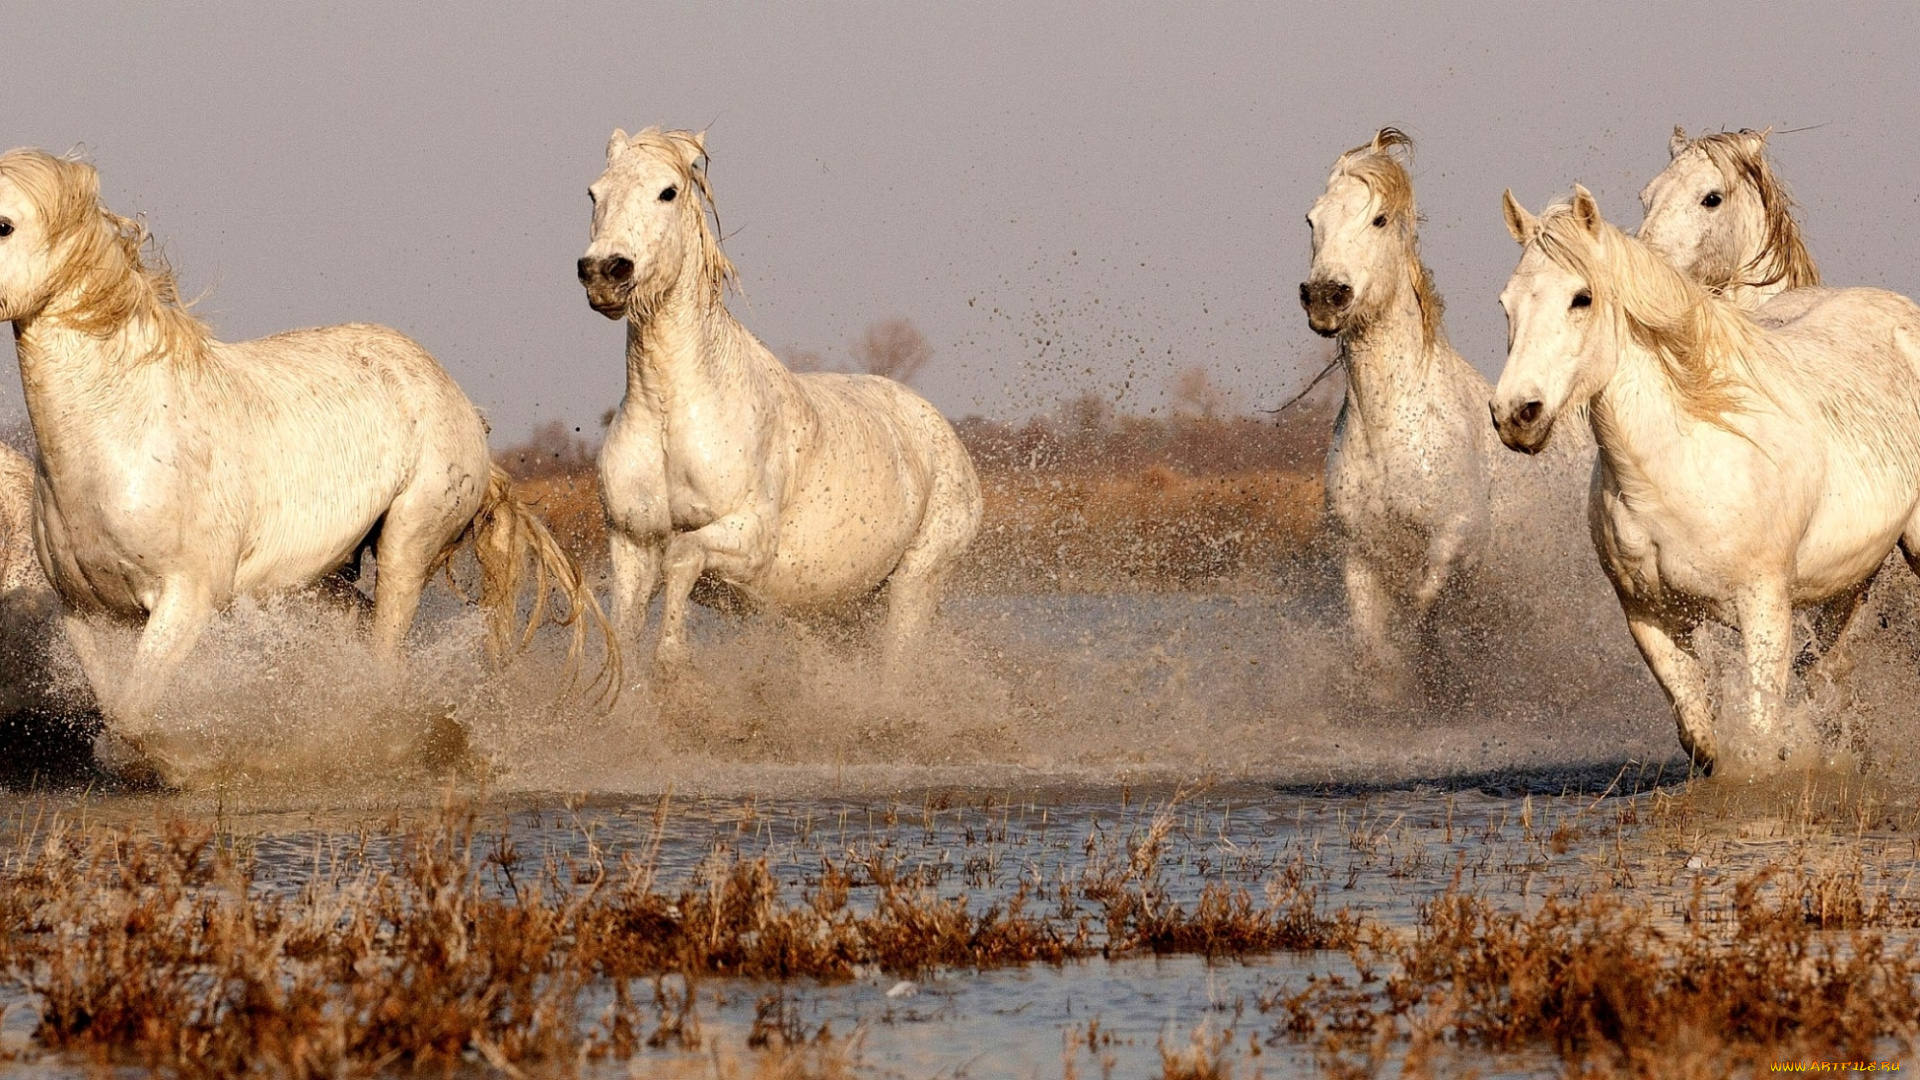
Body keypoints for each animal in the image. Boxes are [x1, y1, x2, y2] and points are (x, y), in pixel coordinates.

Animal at [0, 148, 610, 772]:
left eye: (4, 226)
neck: (120, 439)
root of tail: (459, 399)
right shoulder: (86, 613)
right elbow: (116, 715)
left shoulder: (185, 599)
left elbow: (133, 717)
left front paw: (186, 764)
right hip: (327, 573)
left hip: (408, 543)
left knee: (384, 659)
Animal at [576, 127, 983, 672]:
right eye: (594, 193)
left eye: (668, 192)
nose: (605, 271)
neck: (672, 411)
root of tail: (942, 432)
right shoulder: (632, 545)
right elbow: (624, 628)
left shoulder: (750, 538)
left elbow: (683, 555)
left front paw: (674, 661)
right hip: (845, 611)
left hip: (915, 584)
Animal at [1297, 127, 1489, 699]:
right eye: (1312, 219)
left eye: (1379, 219)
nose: (1324, 296)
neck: (1391, 428)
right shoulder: (1357, 554)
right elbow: (1370, 641)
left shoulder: (1458, 535)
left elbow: (1425, 603)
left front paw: (1434, 673)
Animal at [1489, 187, 1920, 772]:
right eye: (1507, 303)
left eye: (1582, 298)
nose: (1516, 414)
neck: (1677, 468)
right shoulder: (1650, 618)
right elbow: (1700, 734)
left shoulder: (1763, 606)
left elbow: (1759, 733)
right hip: (1848, 579)